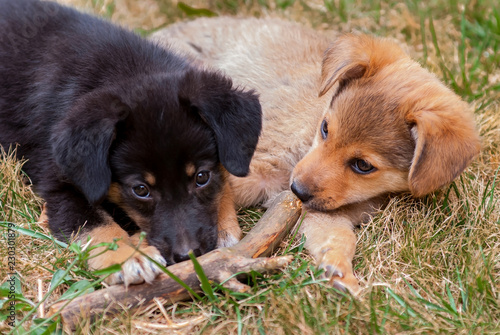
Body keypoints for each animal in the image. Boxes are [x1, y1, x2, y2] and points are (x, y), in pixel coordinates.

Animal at [0, 0, 264, 286]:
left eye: (201, 177)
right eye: (140, 190)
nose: (188, 255)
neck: (131, 71)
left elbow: (224, 182)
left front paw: (225, 228)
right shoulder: (60, 186)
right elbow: (98, 225)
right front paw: (127, 257)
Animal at [152, 17, 480, 292]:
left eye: (363, 166)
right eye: (325, 128)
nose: (296, 190)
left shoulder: (323, 214)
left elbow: (339, 237)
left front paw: (340, 270)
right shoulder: (246, 163)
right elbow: (215, 189)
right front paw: (224, 233)